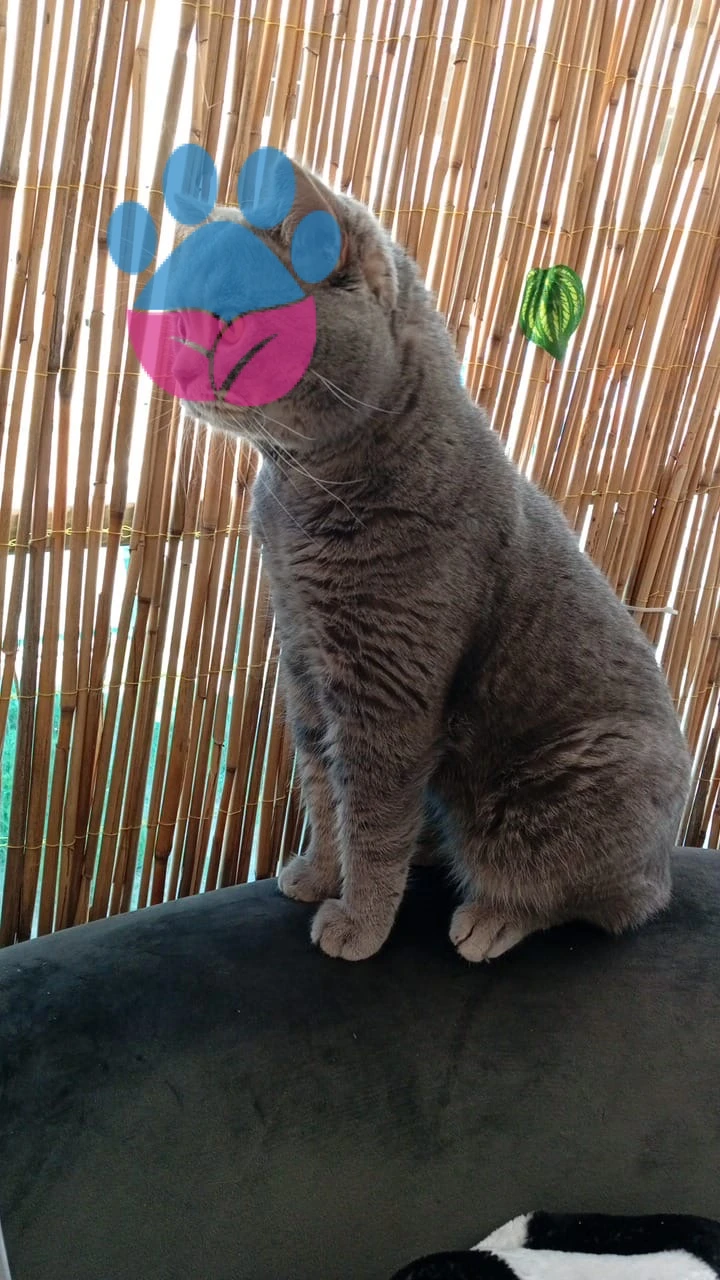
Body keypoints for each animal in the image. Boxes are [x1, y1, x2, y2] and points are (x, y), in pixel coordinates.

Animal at [179, 159, 692, 963]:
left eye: (229, 317)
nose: (171, 356)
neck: (299, 489)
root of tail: (669, 854)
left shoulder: (385, 693)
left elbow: (371, 818)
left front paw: (359, 920)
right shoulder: (305, 667)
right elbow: (322, 790)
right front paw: (320, 874)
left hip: (581, 781)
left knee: (603, 898)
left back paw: (493, 916)